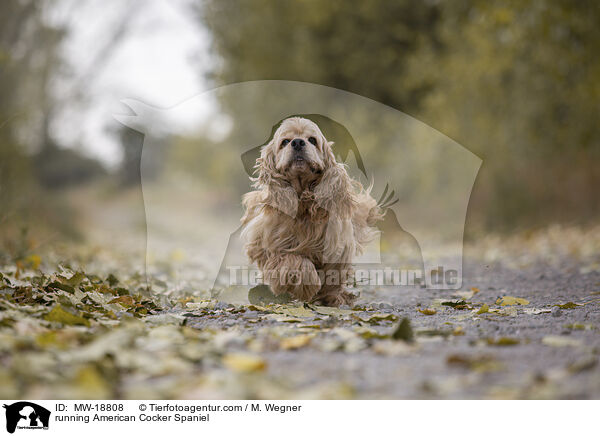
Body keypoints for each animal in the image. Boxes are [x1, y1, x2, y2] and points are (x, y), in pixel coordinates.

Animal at [239, 116, 380, 306]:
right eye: (285, 142)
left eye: (312, 140)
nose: (298, 142)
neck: (303, 204)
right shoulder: (272, 246)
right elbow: (296, 262)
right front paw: (307, 285)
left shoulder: (337, 244)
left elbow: (333, 273)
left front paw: (333, 296)